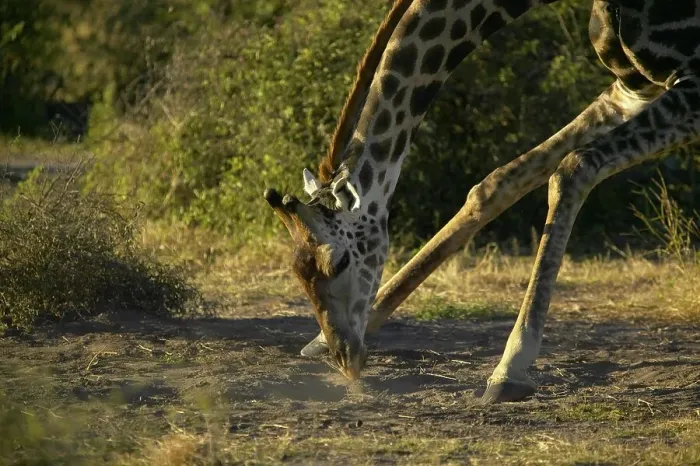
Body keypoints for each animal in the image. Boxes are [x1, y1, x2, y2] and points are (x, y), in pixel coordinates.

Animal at [264, 0, 700, 402]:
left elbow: (574, 168)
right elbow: (497, 183)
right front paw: (323, 339)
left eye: (338, 261)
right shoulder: (632, 88)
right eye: (297, 272)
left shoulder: (694, 87)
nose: (346, 358)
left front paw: (511, 367)